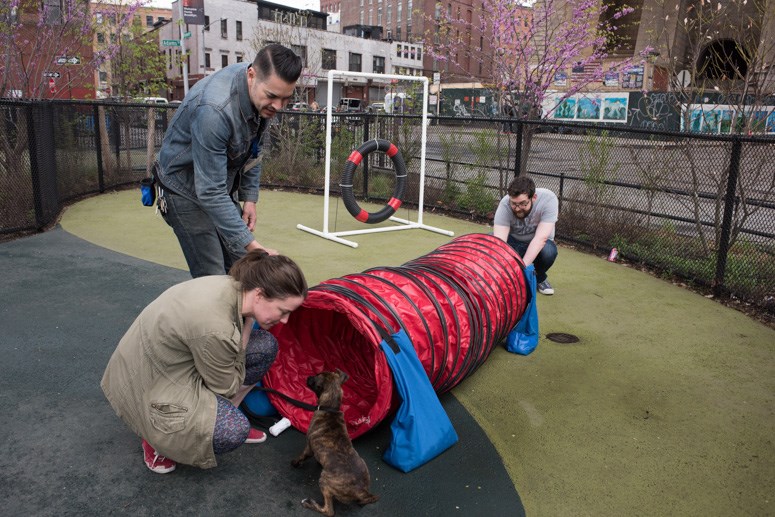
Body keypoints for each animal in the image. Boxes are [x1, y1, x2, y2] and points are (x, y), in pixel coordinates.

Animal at [292, 368, 378, 512]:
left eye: (316, 376)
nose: (308, 377)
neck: (330, 408)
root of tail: (362, 491)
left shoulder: (309, 447)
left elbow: (302, 456)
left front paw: (295, 463)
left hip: (324, 481)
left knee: (328, 510)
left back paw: (310, 503)